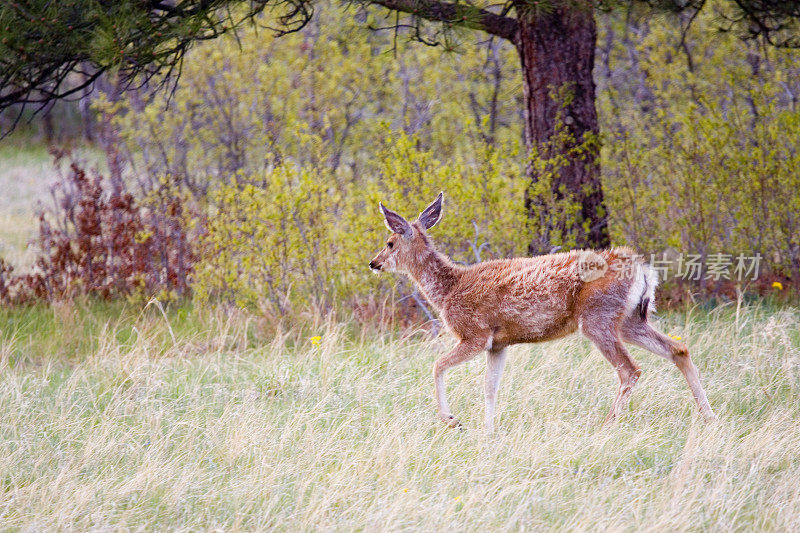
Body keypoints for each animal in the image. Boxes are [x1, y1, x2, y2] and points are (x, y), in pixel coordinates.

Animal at [370, 192, 720, 432]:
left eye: (389, 242)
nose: (373, 263)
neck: (449, 290)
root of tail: (643, 269)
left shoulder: (475, 334)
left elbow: (437, 366)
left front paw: (453, 420)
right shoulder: (498, 344)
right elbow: (489, 388)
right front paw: (488, 431)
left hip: (597, 318)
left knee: (630, 370)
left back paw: (607, 425)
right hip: (631, 319)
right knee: (678, 349)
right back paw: (709, 415)